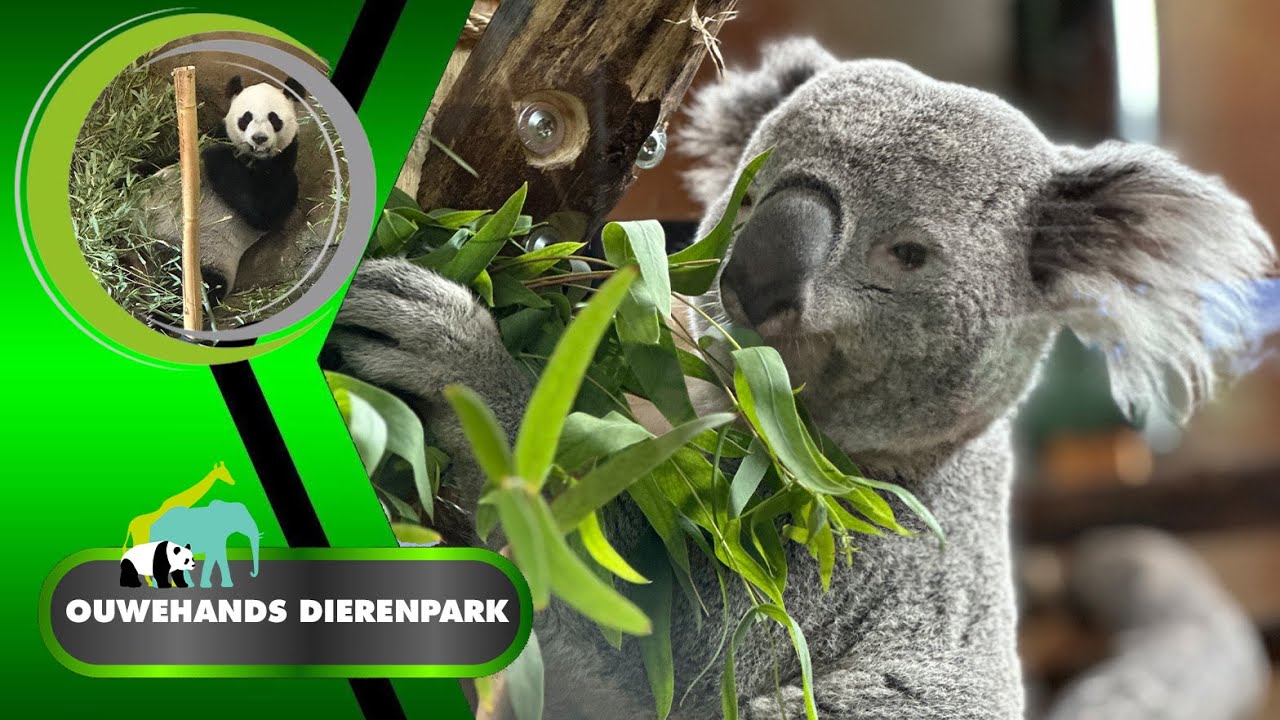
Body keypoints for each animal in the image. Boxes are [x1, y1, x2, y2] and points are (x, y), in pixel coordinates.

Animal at [139, 75, 306, 303]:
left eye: (274, 119)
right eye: (246, 118)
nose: (259, 138)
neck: (251, 158)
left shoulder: (282, 166)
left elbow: (263, 210)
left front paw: (216, 154)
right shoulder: (213, 136)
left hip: (207, 259)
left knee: (194, 288)